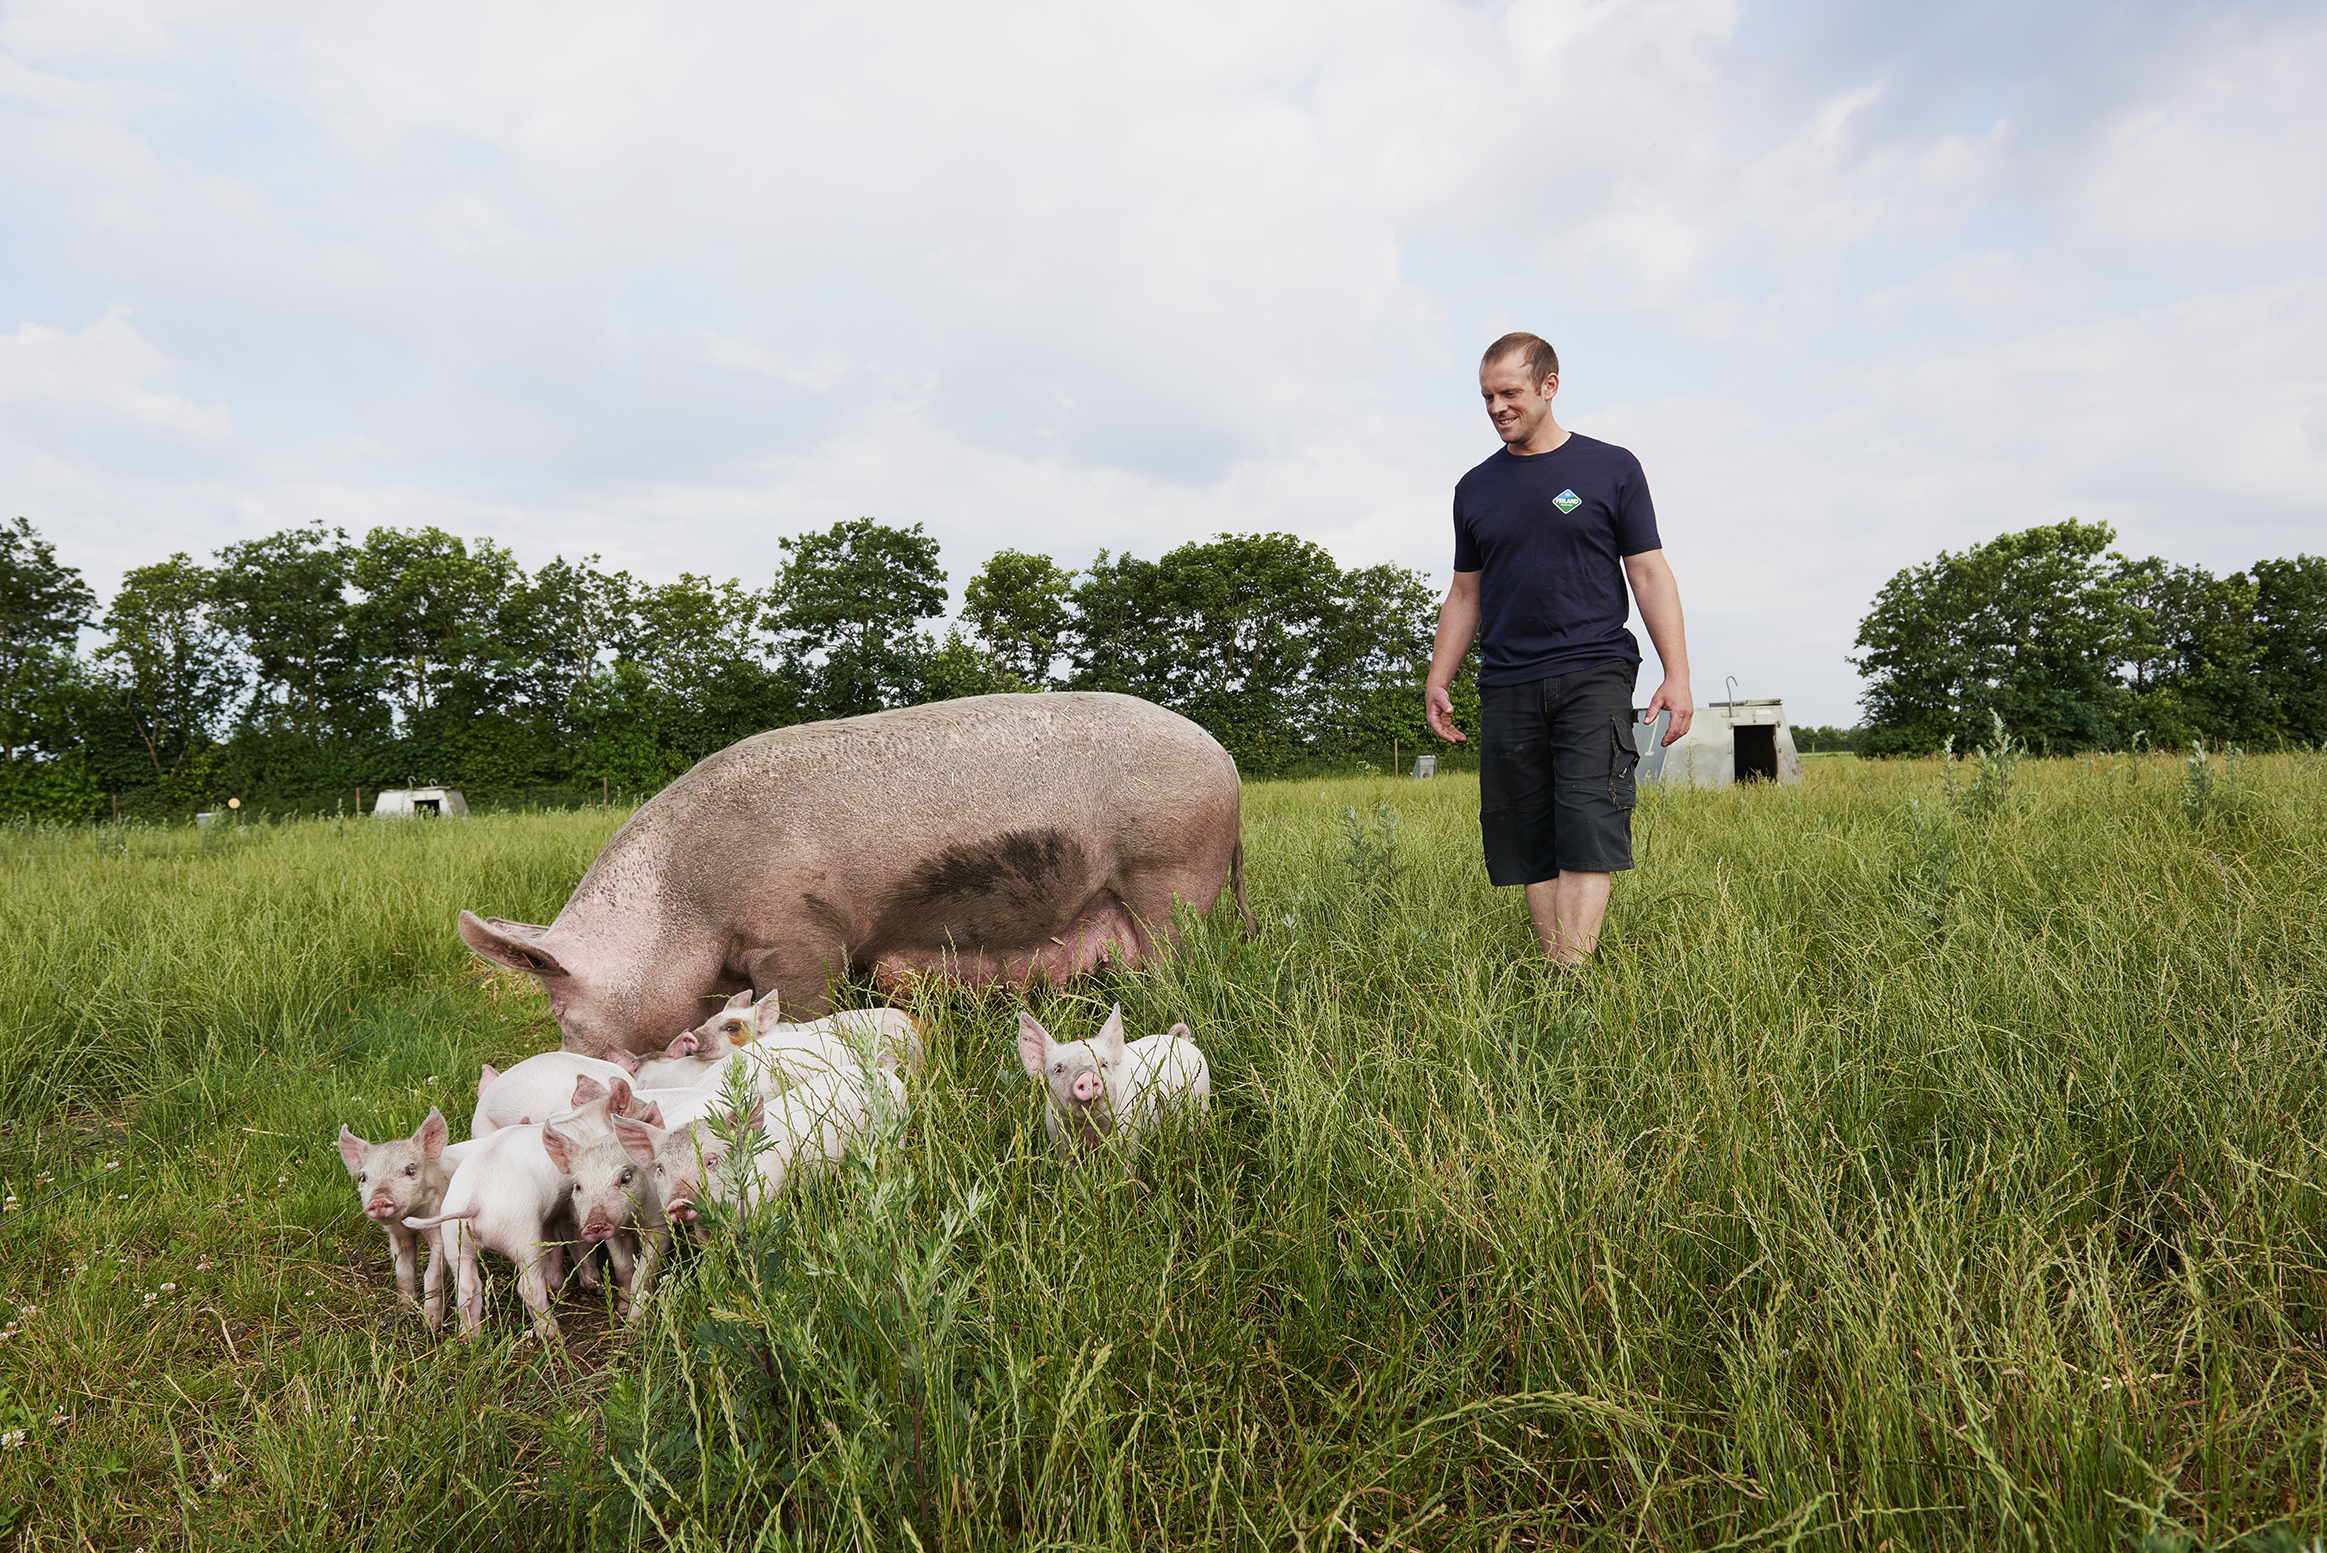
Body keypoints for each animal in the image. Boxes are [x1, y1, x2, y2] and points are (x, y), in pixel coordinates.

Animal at [335, 1108, 479, 1329]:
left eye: (410, 1170)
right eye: (364, 1177)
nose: (379, 1200)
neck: (412, 1216)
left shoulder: (438, 1227)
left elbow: (431, 1274)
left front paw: (431, 1326)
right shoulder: (398, 1235)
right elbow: (402, 1272)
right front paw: (404, 1310)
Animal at [456, 693, 1255, 1058]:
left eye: (562, 1016)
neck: (684, 905)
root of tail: (1225, 762)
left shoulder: (801, 934)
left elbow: (803, 1006)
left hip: (1171, 869)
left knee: (1181, 957)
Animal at [1017, 1005, 1210, 1163]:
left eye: (1104, 1064)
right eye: (1058, 1069)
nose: (1087, 1076)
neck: (1090, 1130)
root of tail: (1182, 1040)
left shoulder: (1129, 1134)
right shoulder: (1060, 1142)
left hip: (1200, 1100)